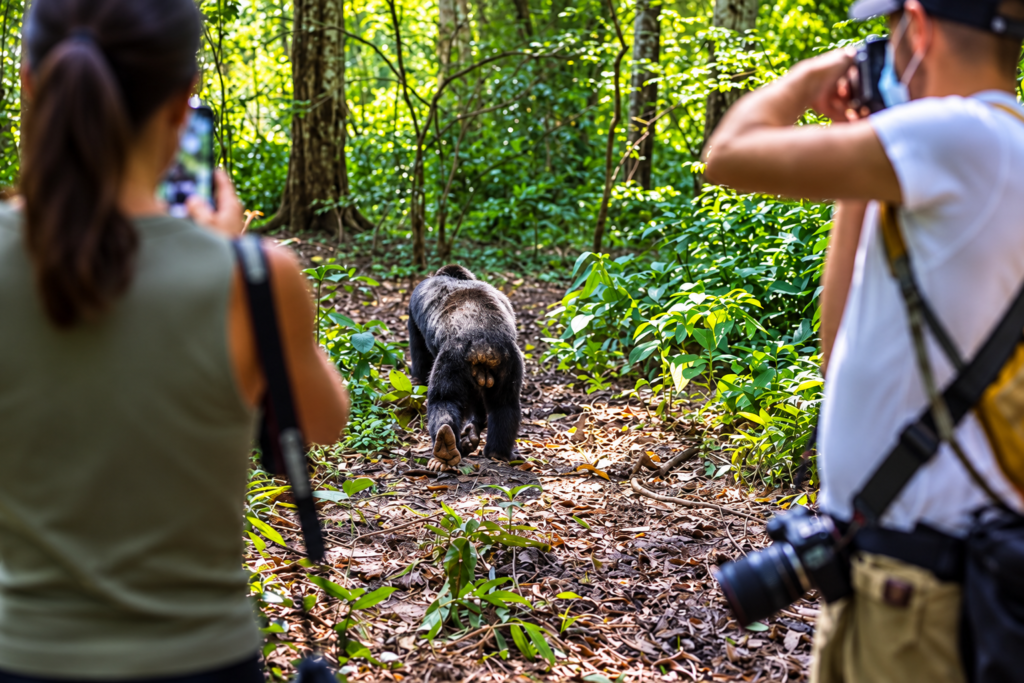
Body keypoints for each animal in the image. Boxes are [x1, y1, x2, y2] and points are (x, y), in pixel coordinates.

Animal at [407, 264, 524, 471]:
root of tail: (483, 344)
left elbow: (420, 356)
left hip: (452, 358)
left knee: (444, 400)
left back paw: (445, 451)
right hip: (511, 361)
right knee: (505, 403)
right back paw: (497, 452)